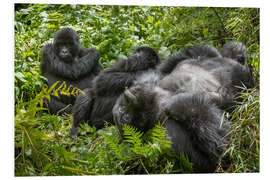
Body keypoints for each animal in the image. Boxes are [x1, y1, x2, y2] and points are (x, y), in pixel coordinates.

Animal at [112, 42, 253, 173]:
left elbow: (180, 58)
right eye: (124, 115)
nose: (127, 97)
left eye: (122, 105)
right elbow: (219, 154)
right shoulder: (169, 131)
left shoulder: (158, 76)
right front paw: (178, 102)